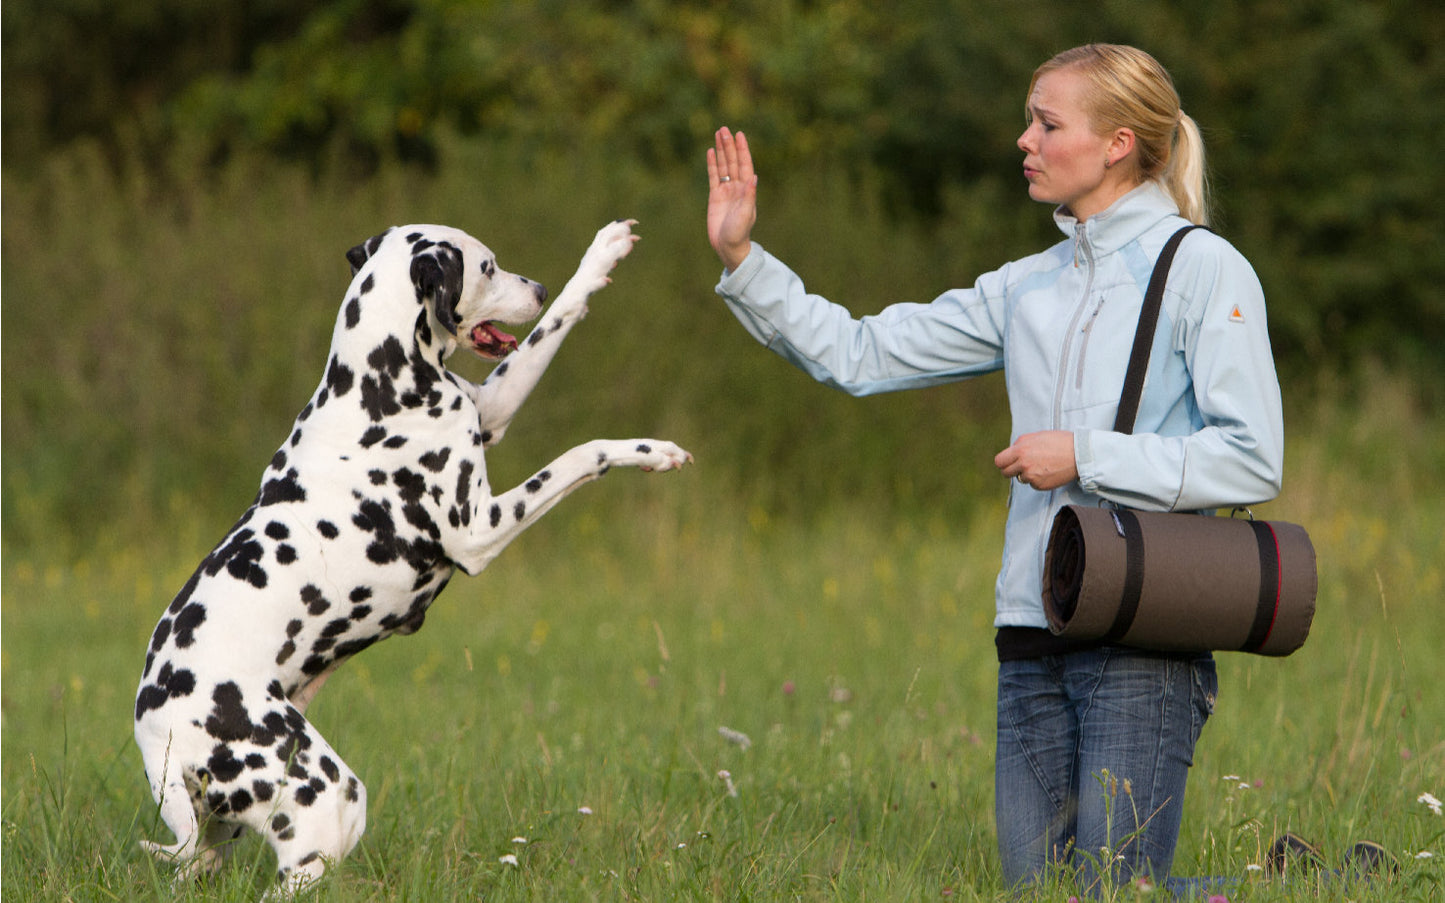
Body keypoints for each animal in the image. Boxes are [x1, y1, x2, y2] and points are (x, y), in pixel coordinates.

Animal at [134, 215, 687, 889]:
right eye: (487, 267)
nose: (535, 286)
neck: (377, 387)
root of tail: (154, 731)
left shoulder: (492, 409)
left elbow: (555, 325)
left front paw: (600, 257)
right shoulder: (480, 531)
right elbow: (581, 455)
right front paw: (651, 450)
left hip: (219, 836)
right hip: (328, 799)